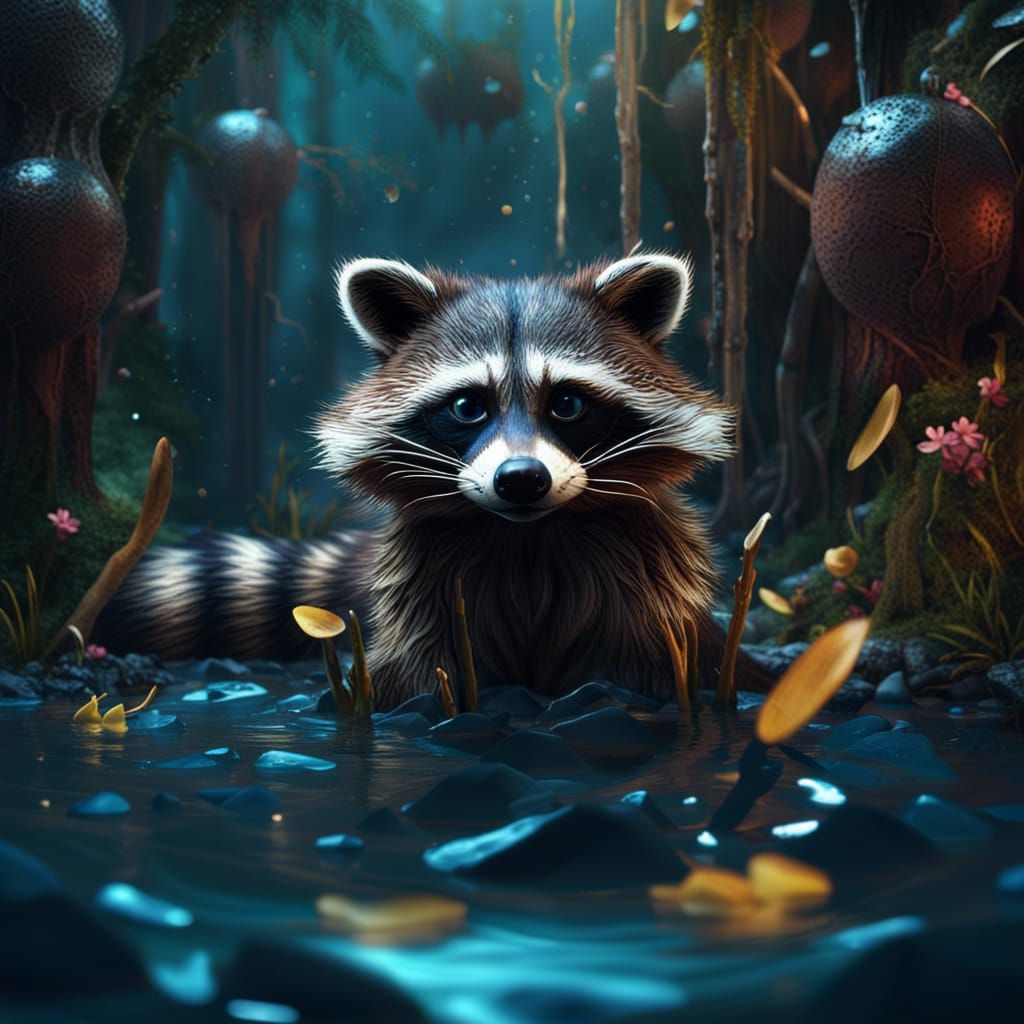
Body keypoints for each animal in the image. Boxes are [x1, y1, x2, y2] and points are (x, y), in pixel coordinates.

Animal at [102, 253, 767, 708]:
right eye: (468, 406)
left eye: (569, 404)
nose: (520, 480)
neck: (527, 538)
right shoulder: (429, 601)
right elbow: (423, 678)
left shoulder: (648, 595)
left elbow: (653, 662)